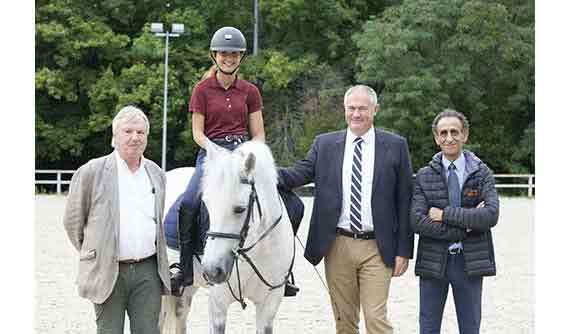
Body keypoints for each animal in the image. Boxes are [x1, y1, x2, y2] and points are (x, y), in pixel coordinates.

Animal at [160, 140, 292, 334]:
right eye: (206, 205)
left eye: (240, 209)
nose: (211, 271)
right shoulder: (218, 302)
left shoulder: (269, 304)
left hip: (186, 289)